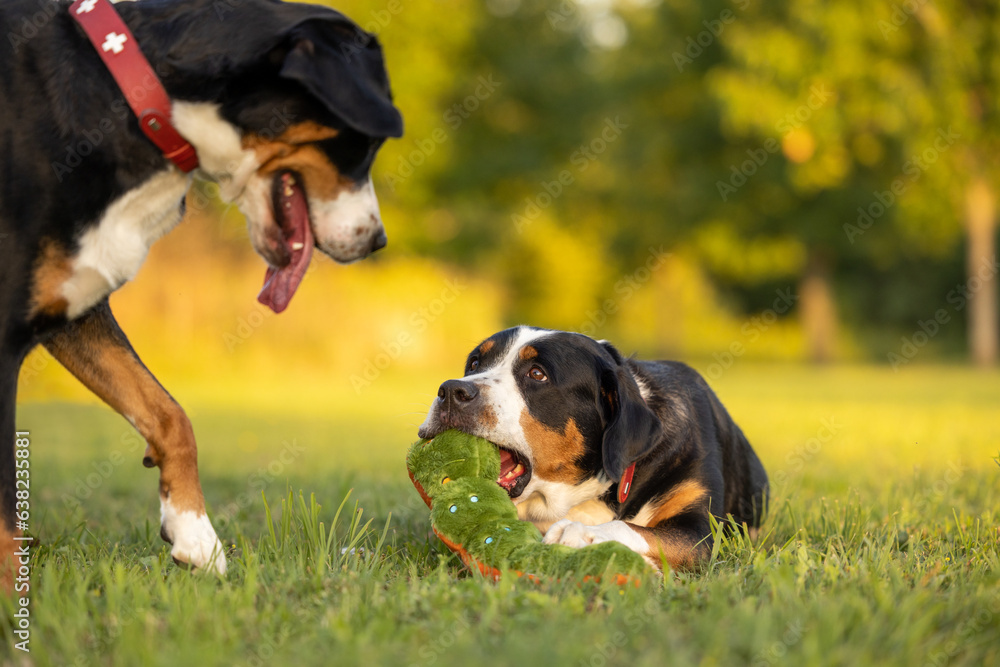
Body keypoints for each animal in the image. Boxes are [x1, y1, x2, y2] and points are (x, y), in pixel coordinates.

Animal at [418, 328, 768, 568]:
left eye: (537, 374)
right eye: (475, 363)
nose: (451, 391)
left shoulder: (701, 532)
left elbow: (634, 529)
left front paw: (582, 533)